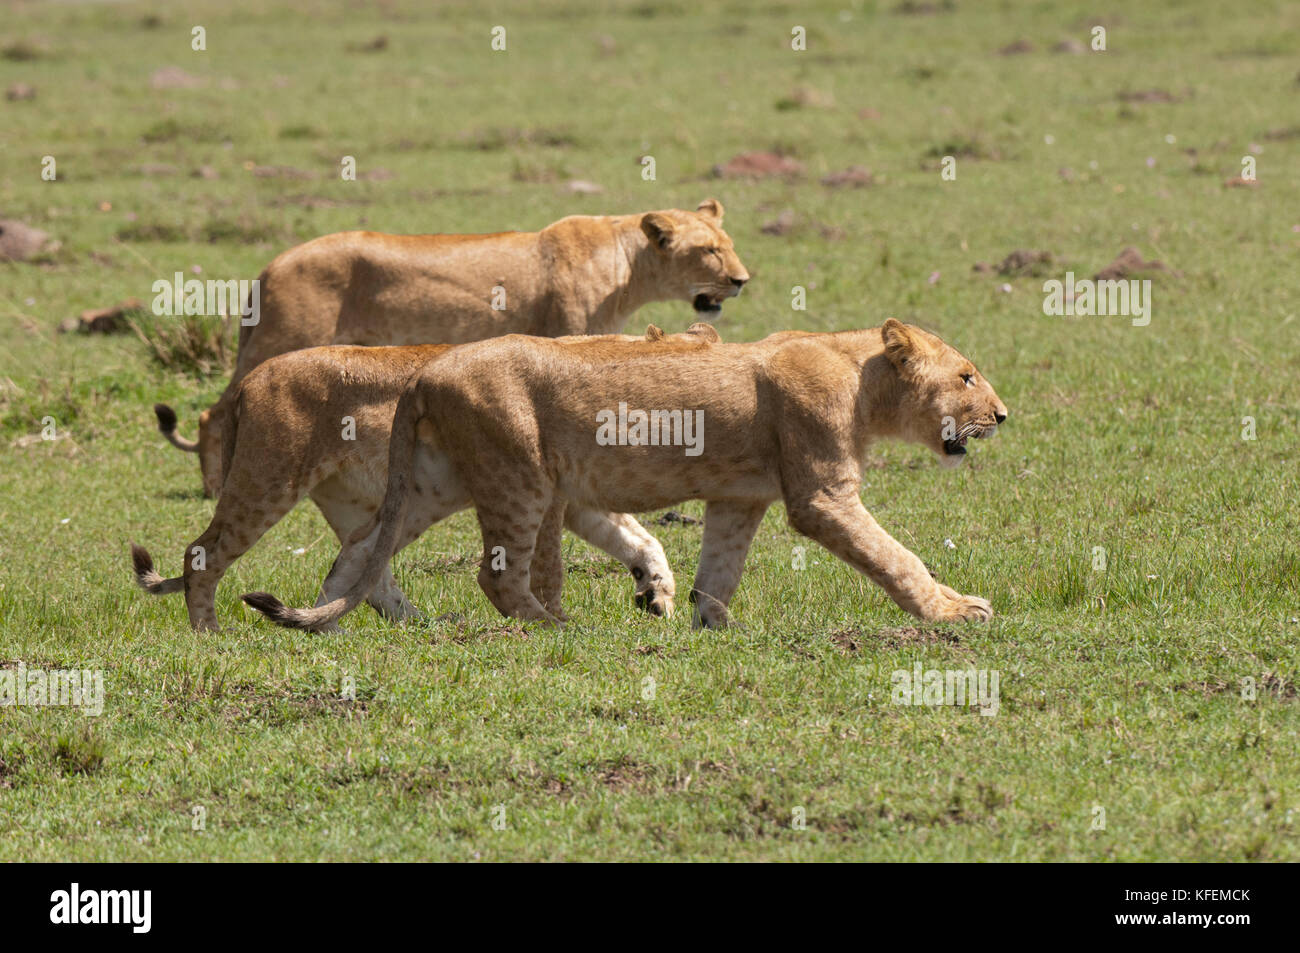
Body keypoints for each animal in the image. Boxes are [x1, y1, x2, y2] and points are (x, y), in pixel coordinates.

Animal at [131, 322, 722, 631]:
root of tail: (249, 381)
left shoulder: (578, 496)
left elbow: (639, 539)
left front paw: (656, 594)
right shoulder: (551, 492)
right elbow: (551, 568)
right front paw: (558, 622)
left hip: (388, 497)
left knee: (359, 563)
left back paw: (376, 627)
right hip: (268, 478)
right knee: (202, 553)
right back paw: (210, 634)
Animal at [154, 199, 749, 496]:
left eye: (730, 245)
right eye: (710, 251)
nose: (742, 281)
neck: (628, 263)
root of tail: (270, 265)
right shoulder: (563, 337)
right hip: (283, 335)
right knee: (213, 411)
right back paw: (215, 483)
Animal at [241, 319, 1008, 632]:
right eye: (967, 375)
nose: (1002, 414)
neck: (861, 377)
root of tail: (427, 372)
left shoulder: (739, 497)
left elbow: (720, 568)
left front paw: (707, 624)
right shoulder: (822, 495)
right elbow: (896, 557)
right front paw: (953, 611)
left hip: (433, 484)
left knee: (356, 554)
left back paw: (317, 627)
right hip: (520, 475)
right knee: (495, 575)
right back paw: (556, 627)